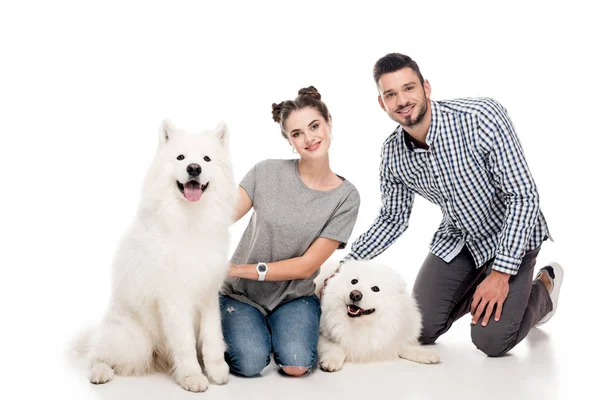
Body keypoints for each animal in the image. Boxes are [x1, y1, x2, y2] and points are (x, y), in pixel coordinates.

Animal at [79, 120, 237, 392]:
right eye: (181, 157)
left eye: (206, 159)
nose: (193, 168)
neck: (191, 220)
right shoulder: (174, 299)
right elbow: (185, 345)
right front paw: (193, 377)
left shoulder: (208, 295)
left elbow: (212, 338)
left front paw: (217, 371)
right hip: (132, 342)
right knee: (96, 355)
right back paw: (100, 372)